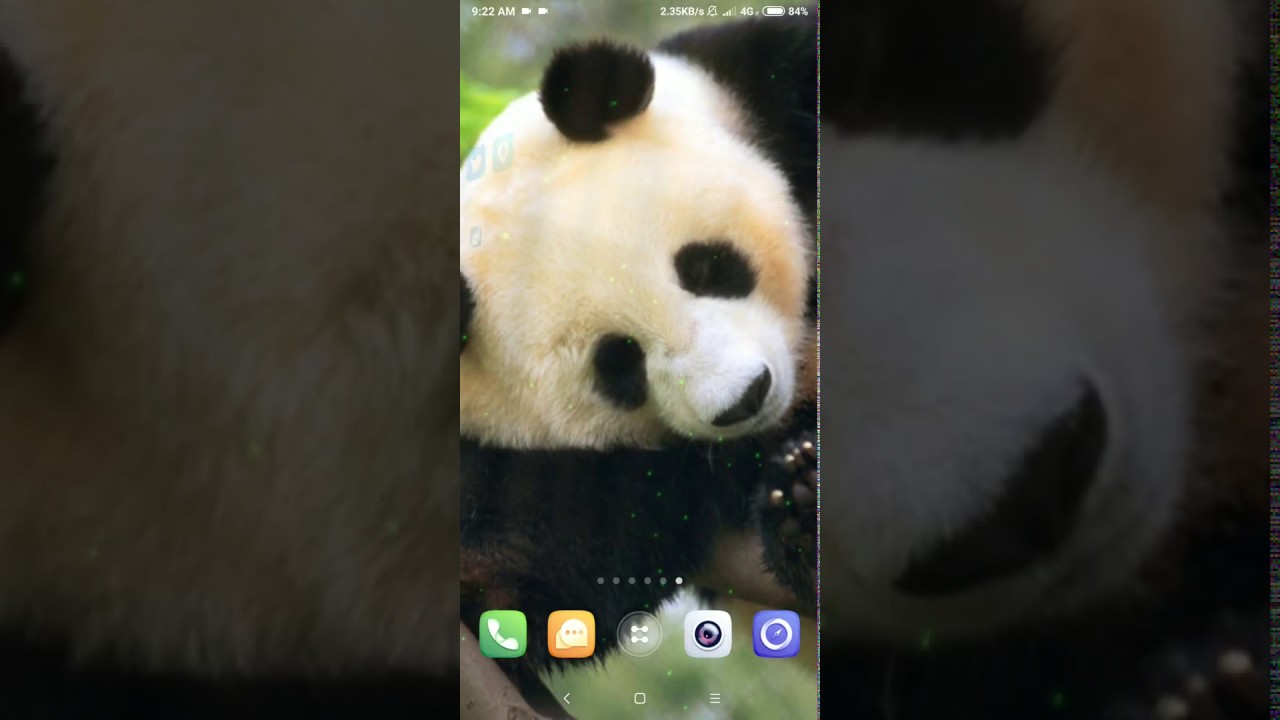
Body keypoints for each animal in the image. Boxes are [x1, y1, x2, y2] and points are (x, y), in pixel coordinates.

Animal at [459, 13, 817, 715]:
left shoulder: (773, 86)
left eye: (706, 265)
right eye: (618, 366)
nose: (747, 396)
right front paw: (800, 503)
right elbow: (531, 571)